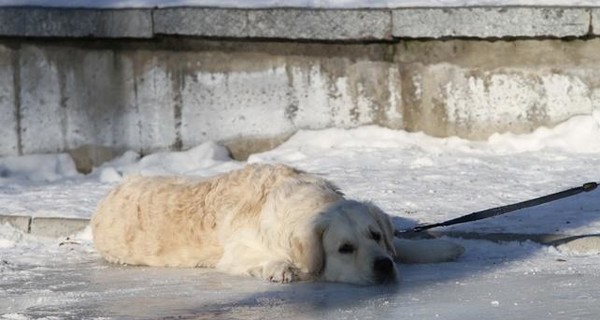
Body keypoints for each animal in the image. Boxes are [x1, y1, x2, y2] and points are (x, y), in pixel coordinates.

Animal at [91, 165, 464, 284]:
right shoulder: (235, 252)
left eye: (374, 235)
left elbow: (400, 243)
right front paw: (279, 268)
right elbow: (261, 259)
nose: (384, 267)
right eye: (344, 249)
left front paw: (443, 246)